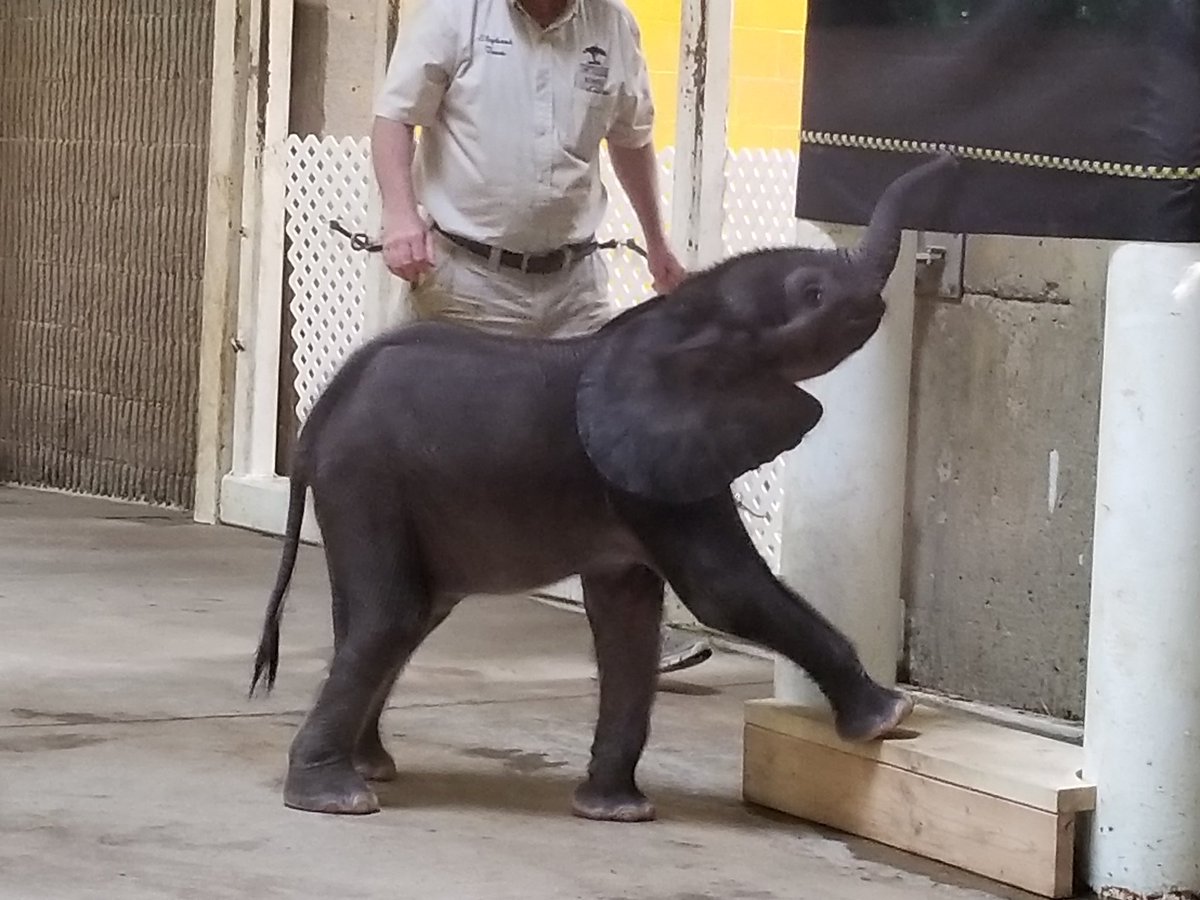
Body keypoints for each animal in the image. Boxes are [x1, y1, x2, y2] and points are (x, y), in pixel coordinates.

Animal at [249, 152, 959, 822]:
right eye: (812, 293)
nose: (953, 164)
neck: (678, 319)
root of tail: (319, 416)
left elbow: (629, 619)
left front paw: (617, 812)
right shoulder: (652, 476)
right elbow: (724, 592)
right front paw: (890, 717)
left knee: (405, 614)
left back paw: (371, 767)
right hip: (365, 480)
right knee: (392, 617)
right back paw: (337, 797)